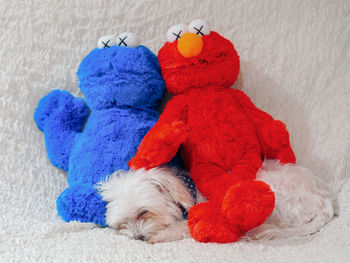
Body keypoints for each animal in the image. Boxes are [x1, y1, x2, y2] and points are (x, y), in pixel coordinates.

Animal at [97, 162, 334, 244]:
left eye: (143, 212)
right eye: (123, 223)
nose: (137, 237)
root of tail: (325, 202)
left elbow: (180, 228)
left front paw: (159, 236)